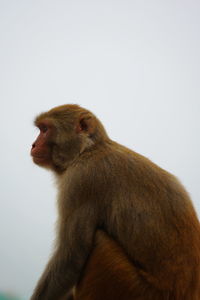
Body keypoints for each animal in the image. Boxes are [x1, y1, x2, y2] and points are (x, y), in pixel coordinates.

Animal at [30, 103, 200, 300]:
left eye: (45, 130)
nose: (33, 145)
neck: (87, 150)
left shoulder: (81, 180)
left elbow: (71, 259)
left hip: (130, 286)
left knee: (99, 241)